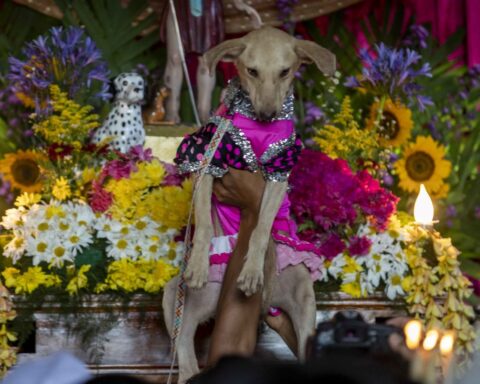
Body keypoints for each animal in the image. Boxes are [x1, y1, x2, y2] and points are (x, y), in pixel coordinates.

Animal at [163, 27, 336, 384]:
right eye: (251, 71)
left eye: (285, 72)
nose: (268, 114)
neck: (257, 129)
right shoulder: (206, 162)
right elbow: (204, 224)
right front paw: (198, 264)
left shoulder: (278, 173)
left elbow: (260, 229)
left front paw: (252, 270)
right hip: (175, 297)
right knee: (185, 354)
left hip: (303, 295)